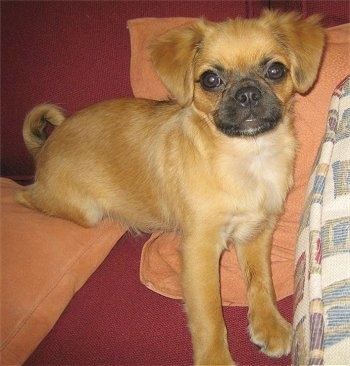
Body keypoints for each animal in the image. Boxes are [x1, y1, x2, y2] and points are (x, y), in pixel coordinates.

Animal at [15, 10, 322, 364]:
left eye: (275, 70)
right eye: (210, 80)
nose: (247, 94)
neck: (248, 155)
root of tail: (45, 146)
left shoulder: (257, 231)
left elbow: (262, 281)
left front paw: (269, 325)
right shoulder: (200, 247)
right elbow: (209, 315)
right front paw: (215, 358)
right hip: (83, 209)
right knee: (25, 196)